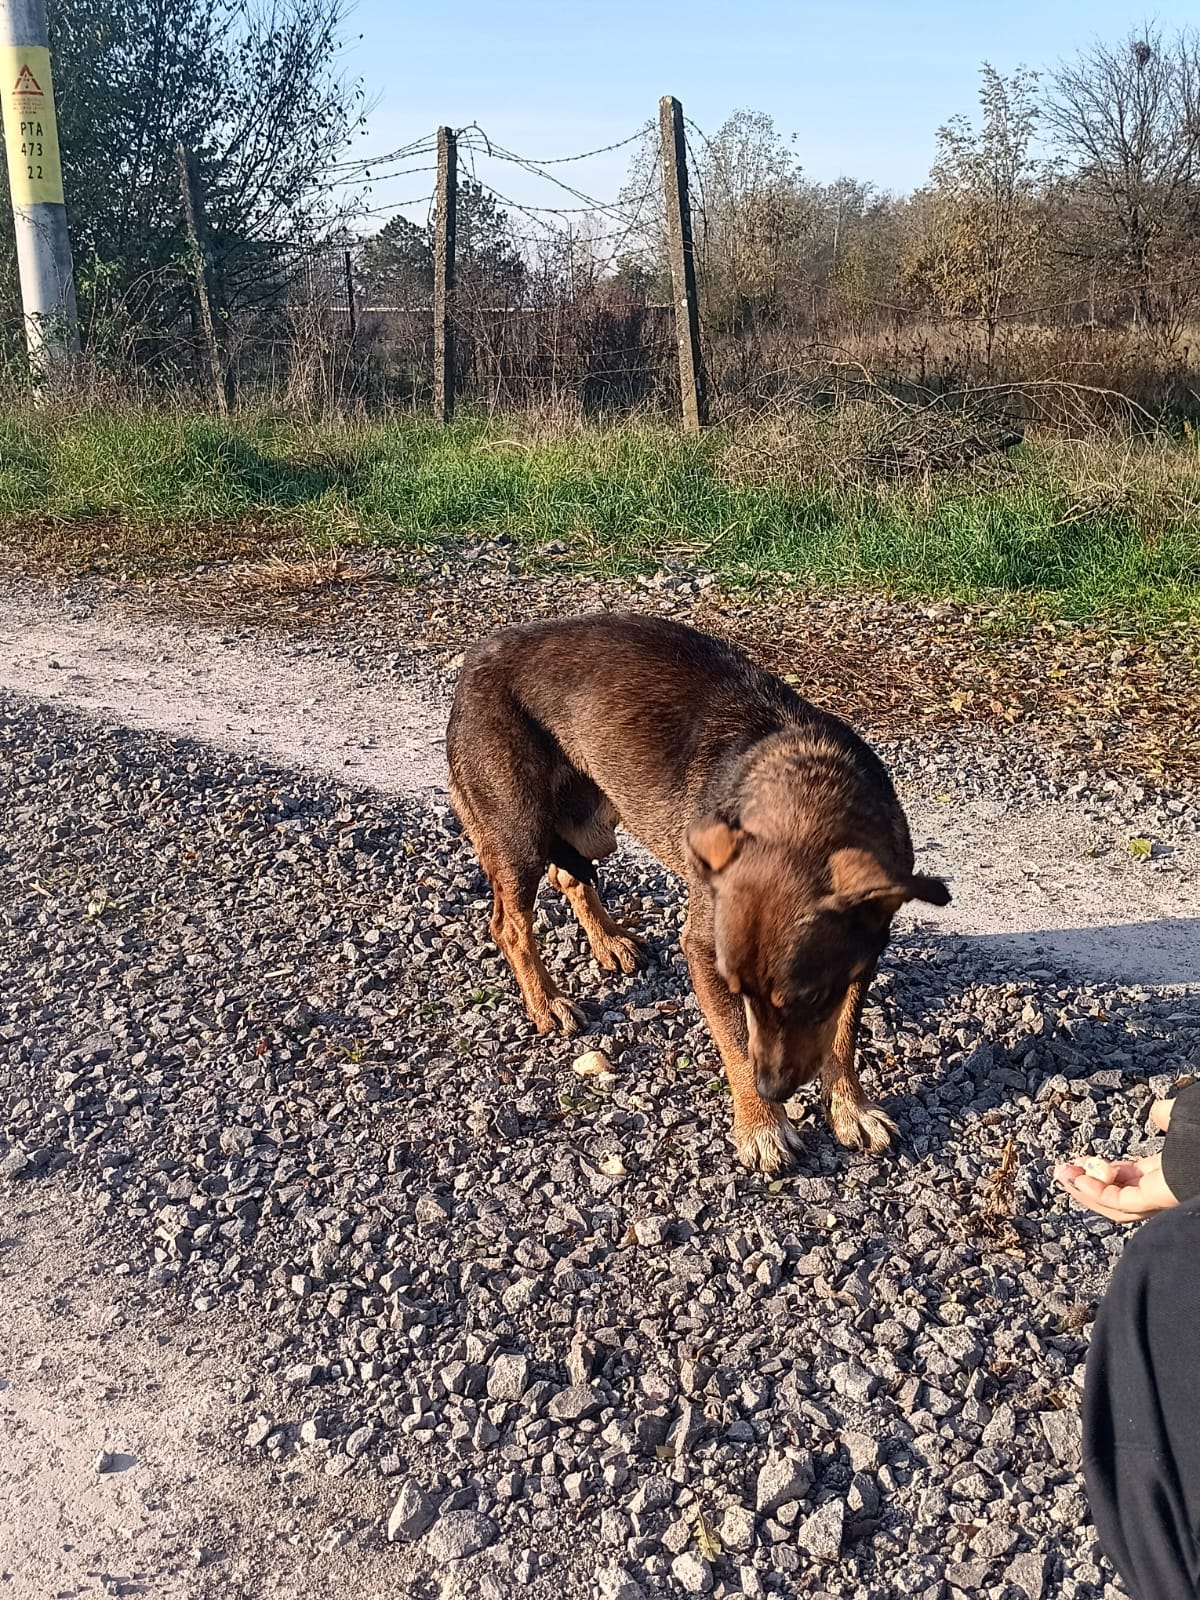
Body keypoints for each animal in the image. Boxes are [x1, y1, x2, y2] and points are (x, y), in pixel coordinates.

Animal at [448, 611, 953, 1177]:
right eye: (739, 992)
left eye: (810, 997)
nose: (774, 1089)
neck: (808, 798)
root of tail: (477, 655)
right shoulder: (706, 952)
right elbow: (737, 1042)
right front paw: (762, 1127)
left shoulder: (859, 959)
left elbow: (841, 1038)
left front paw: (851, 1109)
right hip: (520, 836)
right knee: (510, 925)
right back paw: (547, 1001)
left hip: (593, 823)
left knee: (570, 877)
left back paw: (608, 941)